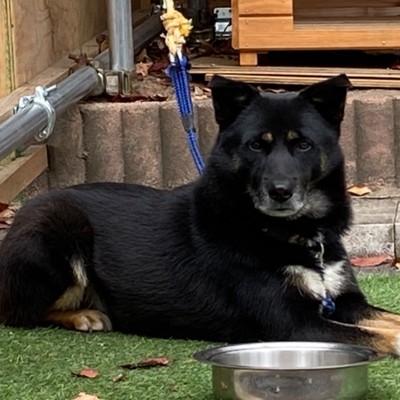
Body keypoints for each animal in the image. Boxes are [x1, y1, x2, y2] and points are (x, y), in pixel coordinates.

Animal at [1, 74, 400, 356]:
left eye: (303, 144)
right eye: (256, 145)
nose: (280, 191)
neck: (294, 233)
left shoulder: (344, 302)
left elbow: (390, 320)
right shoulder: (294, 326)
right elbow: (379, 335)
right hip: (58, 227)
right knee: (19, 310)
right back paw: (85, 314)